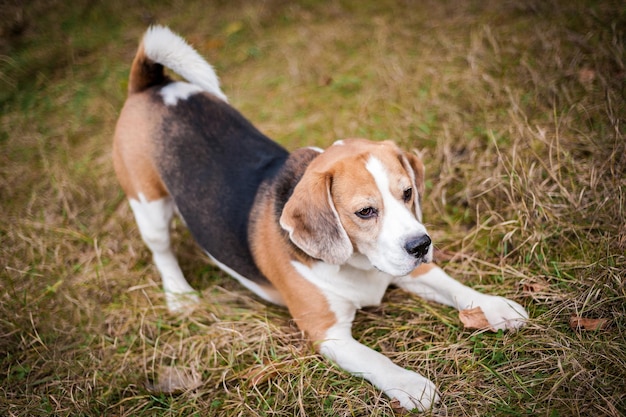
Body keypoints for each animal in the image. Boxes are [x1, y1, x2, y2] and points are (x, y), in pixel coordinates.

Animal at [112, 26, 528, 412]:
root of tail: (153, 85)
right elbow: (375, 359)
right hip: (147, 204)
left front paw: (494, 306)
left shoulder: (413, 270)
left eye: (408, 193)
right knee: (162, 250)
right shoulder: (328, 333)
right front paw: (410, 384)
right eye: (365, 212)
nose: (421, 245)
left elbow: (451, 284)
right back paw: (180, 296)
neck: (358, 266)